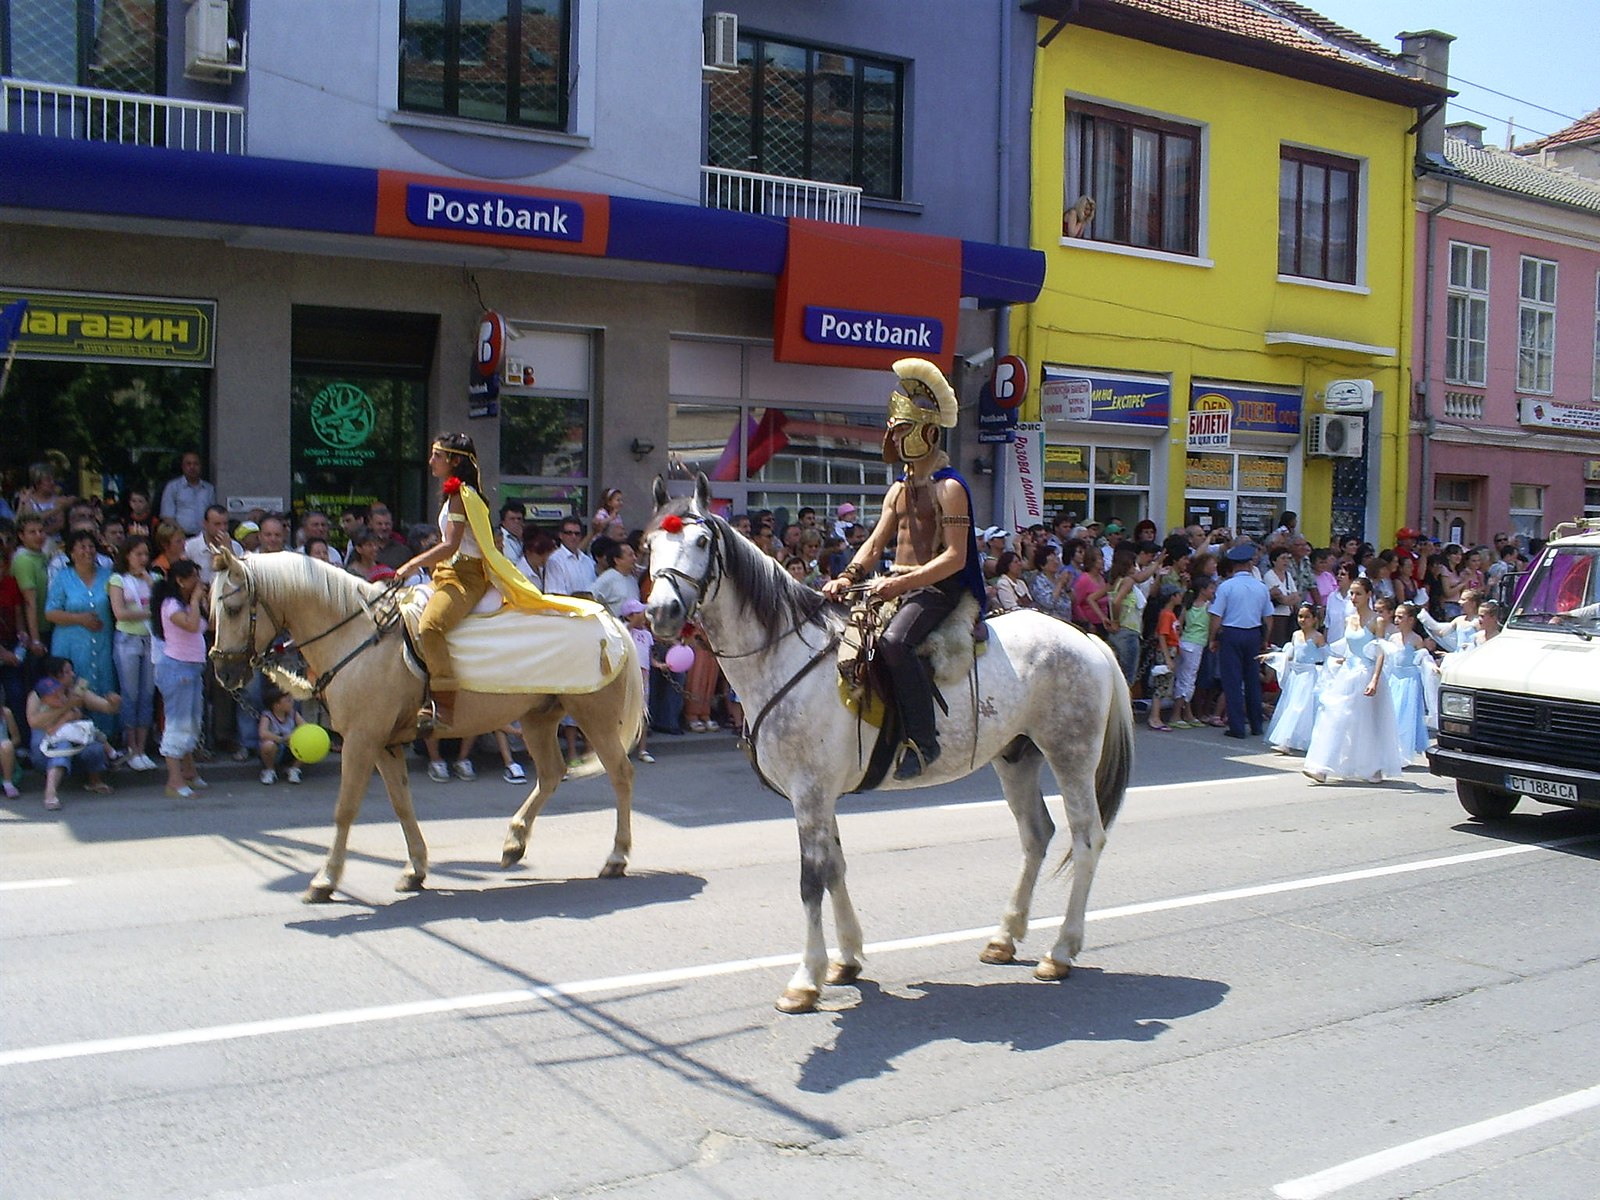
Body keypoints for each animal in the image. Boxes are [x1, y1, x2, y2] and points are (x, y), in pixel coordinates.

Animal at [208, 547, 643, 902]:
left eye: (233, 608)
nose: (223, 673)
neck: (358, 638)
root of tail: (608, 618)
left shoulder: (361, 741)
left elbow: (345, 809)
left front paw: (324, 880)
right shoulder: (384, 744)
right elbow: (402, 804)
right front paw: (415, 869)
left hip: (594, 718)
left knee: (620, 774)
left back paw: (616, 856)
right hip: (539, 716)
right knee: (552, 774)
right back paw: (514, 843)